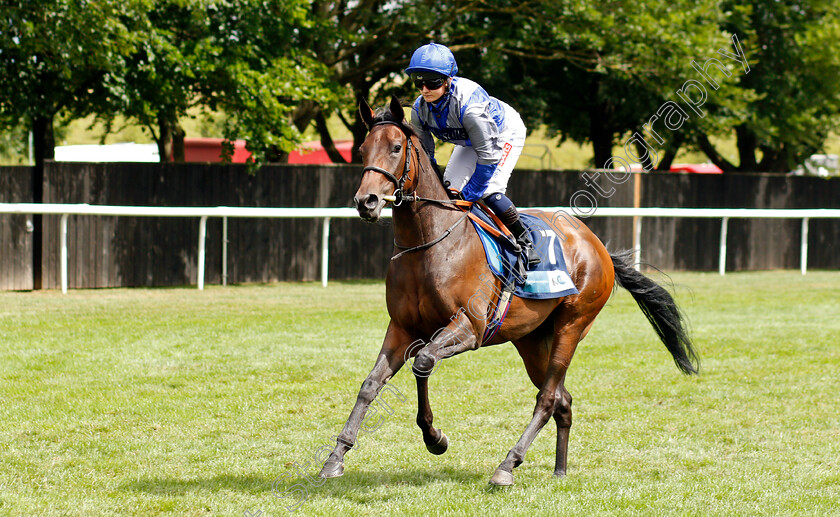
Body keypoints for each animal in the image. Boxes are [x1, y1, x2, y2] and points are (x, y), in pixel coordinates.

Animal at [316, 94, 696, 486]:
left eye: (395, 148)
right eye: (362, 150)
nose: (367, 201)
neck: (429, 243)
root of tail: (598, 245)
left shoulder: (470, 328)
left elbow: (423, 363)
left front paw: (435, 438)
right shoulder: (403, 328)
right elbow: (373, 383)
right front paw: (336, 457)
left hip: (572, 326)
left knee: (548, 397)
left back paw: (507, 465)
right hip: (531, 339)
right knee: (563, 399)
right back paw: (559, 469)